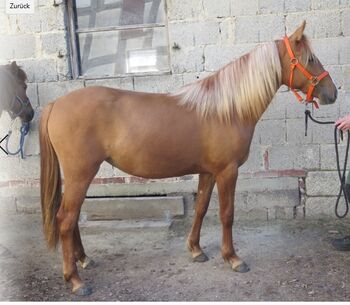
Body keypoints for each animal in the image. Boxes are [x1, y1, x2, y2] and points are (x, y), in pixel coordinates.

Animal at [39, 22, 338, 294]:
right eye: (310, 59)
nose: (332, 93)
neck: (226, 109)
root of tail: (55, 104)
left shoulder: (208, 171)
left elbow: (201, 208)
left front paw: (195, 250)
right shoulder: (227, 171)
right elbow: (227, 214)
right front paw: (233, 258)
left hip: (78, 175)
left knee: (71, 217)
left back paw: (83, 259)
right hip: (81, 173)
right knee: (65, 218)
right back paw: (75, 280)